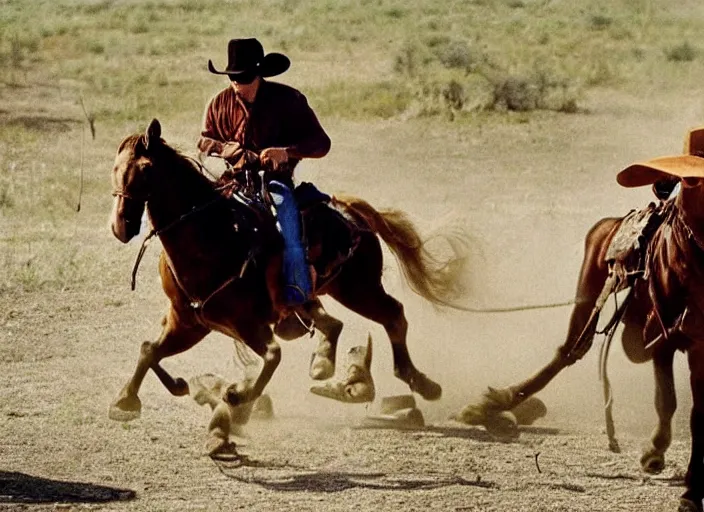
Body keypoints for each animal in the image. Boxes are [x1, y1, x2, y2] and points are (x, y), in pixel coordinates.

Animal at [106, 121, 468, 456]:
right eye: (115, 167)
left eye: (146, 169)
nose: (121, 225)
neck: (211, 238)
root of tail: (349, 209)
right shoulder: (190, 322)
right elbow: (149, 349)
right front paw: (129, 399)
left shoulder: (244, 322)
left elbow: (272, 355)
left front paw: (236, 397)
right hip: (330, 294)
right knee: (337, 323)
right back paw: (324, 364)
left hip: (359, 288)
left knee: (393, 315)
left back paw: (421, 383)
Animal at [460, 146, 704, 510]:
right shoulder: (666, 334)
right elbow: (669, 399)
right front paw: (663, 463)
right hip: (589, 288)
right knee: (572, 348)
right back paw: (494, 403)